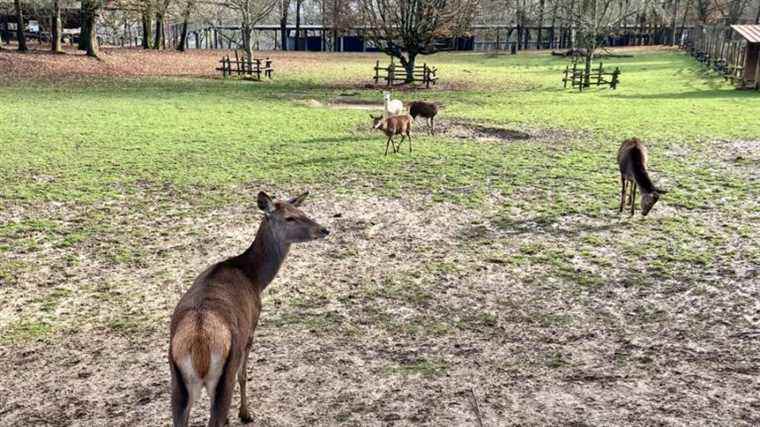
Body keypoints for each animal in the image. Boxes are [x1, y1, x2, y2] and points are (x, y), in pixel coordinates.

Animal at [170, 192, 330, 426]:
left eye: (302, 211)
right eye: (290, 218)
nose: (324, 229)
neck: (254, 278)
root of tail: (199, 347)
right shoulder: (252, 327)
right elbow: (243, 375)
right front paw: (245, 414)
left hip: (176, 382)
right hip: (224, 370)